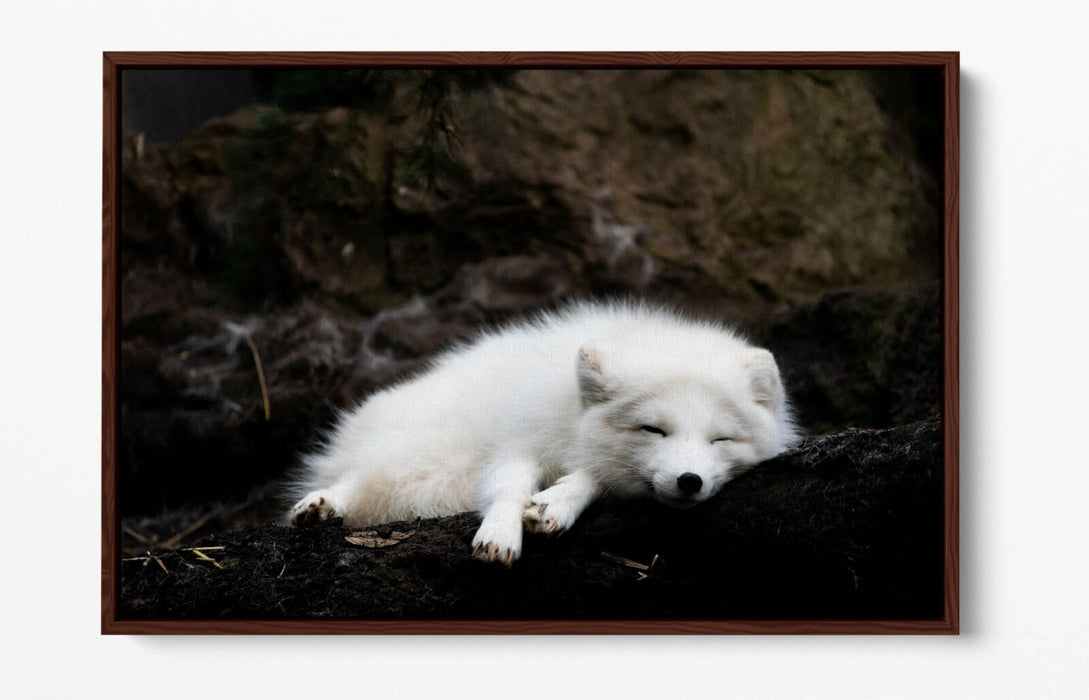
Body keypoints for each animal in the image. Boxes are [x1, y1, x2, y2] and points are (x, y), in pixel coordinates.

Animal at [288, 301, 798, 566]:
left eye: (720, 440)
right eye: (653, 429)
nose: (689, 481)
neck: (569, 413)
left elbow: (593, 477)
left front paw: (556, 503)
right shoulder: (519, 440)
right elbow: (509, 485)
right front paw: (500, 533)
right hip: (424, 454)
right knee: (361, 477)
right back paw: (322, 504)